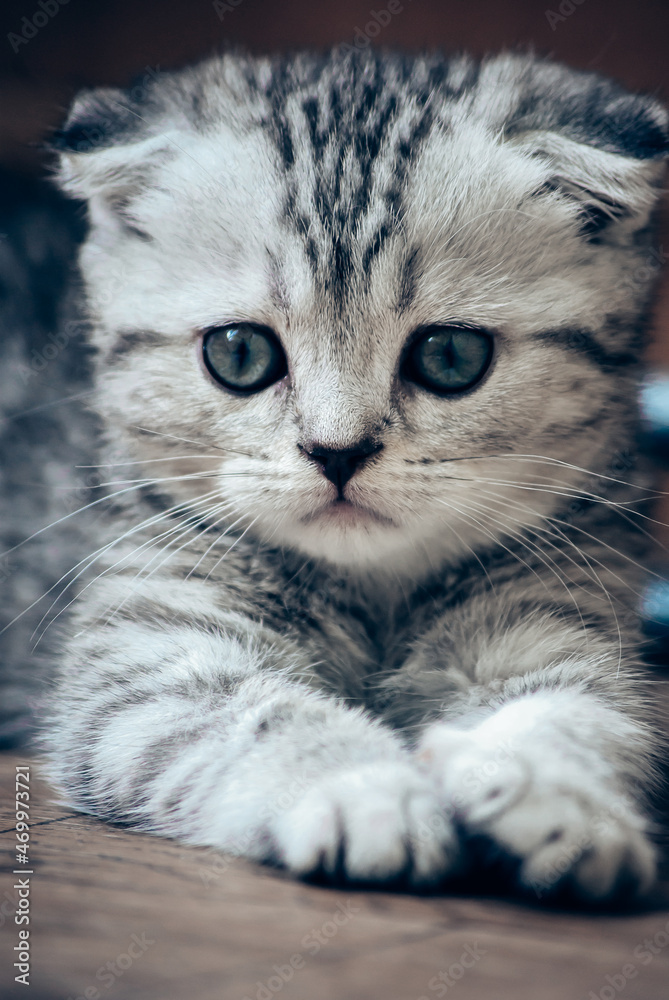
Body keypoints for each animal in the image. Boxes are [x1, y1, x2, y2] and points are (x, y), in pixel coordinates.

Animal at [30, 48, 668, 900]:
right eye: (238, 353)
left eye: (450, 356)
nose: (337, 451)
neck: (376, 594)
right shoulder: (146, 655)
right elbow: (257, 712)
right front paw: (366, 790)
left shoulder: (561, 616)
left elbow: (583, 712)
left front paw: (547, 790)